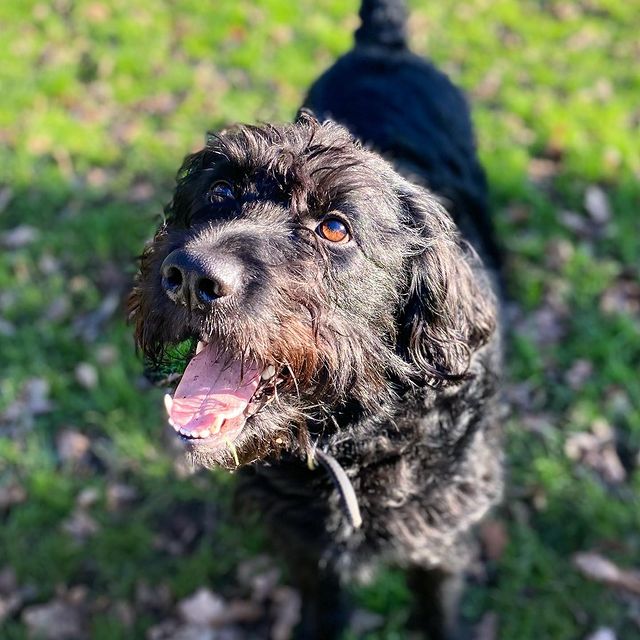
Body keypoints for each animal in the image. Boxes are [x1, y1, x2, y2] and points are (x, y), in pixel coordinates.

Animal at [126, 2, 504, 636]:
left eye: (334, 227)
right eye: (219, 189)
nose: (190, 277)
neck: (352, 439)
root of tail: (384, 44)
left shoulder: (439, 541)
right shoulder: (305, 548)